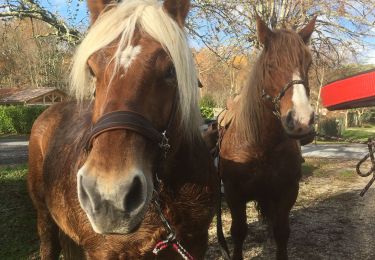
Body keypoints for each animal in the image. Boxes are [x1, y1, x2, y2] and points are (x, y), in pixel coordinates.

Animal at [219, 15, 318, 258]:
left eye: (308, 64)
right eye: (270, 65)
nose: (301, 120)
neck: (260, 145)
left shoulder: (287, 192)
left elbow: (281, 232)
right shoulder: (234, 195)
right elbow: (238, 232)